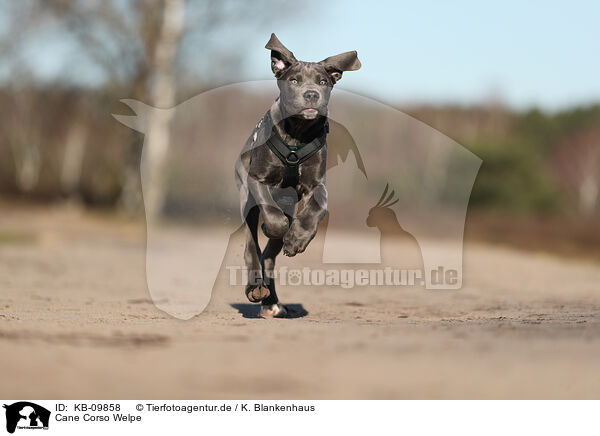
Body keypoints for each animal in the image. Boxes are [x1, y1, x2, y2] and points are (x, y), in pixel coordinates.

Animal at [236, 32, 360, 316]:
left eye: (324, 82)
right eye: (294, 80)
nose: (312, 94)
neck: (297, 134)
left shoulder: (316, 184)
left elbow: (318, 207)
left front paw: (297, 239)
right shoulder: (257, 179)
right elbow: (271, 216)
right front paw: (276, 226)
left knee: (268, 257)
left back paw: (270, 301)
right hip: (246, 198)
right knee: (251, 245)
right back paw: (255, 287)